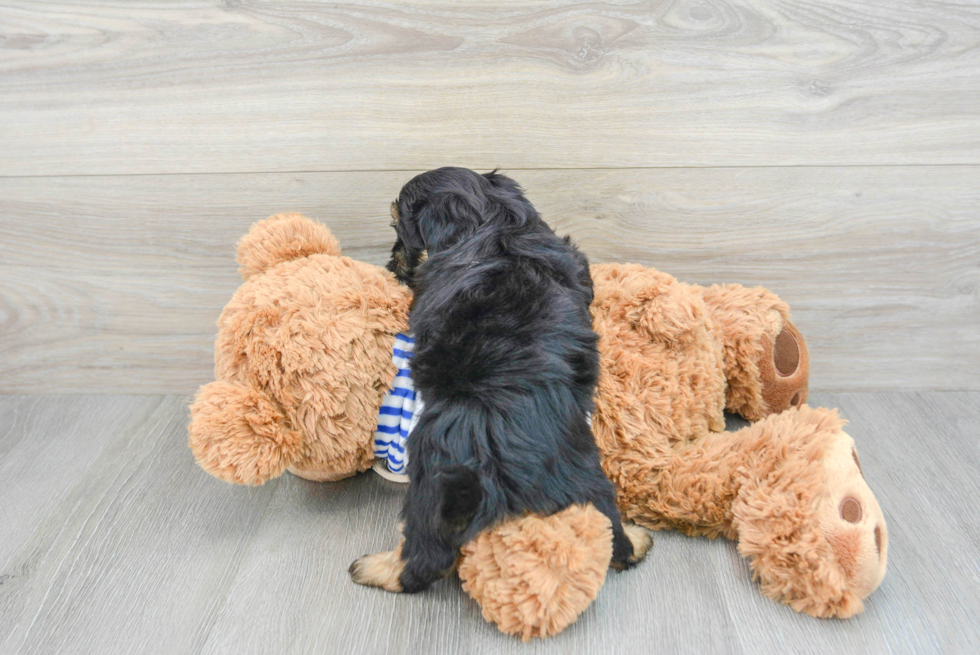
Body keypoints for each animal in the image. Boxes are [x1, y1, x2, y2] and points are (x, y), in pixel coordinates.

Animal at [348, 165, 648, 596]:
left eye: (400, 230)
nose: (390, 263)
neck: (494, 222)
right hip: (586, 471)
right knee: (610, 526)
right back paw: (636, 541)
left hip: (436, 470)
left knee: (426, 555)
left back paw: (376, 568)